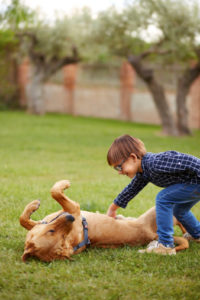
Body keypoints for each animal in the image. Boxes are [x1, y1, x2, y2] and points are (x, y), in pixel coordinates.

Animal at [19, 179, 188, 262]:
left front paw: (32, 206)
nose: (71, 218)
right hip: (159, 209)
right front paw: (64, 184)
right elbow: (55, 192)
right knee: (180, 215)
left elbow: (24, 220)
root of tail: (153, 235)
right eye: (55, 233)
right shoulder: (74, 208)